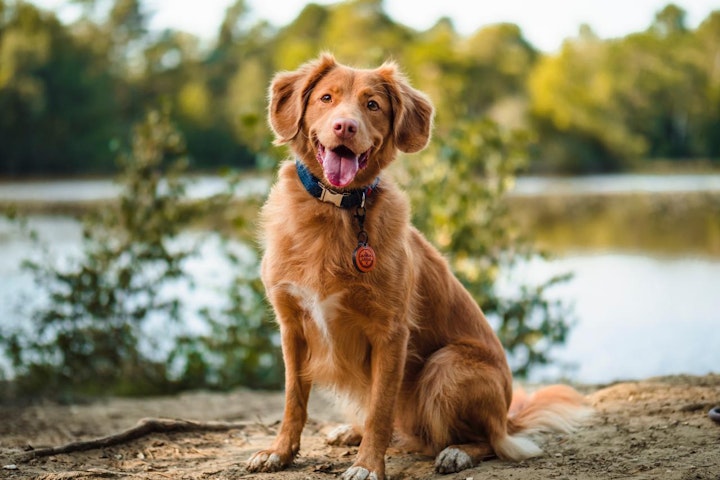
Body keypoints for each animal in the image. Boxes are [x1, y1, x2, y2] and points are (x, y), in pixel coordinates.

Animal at [248, 54, 592, 478]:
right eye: (326, 98)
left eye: (372, 105)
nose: (345, 126)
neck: (336, 212)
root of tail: (508, 416)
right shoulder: (292, 326)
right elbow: (293, 399)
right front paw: (280, 452)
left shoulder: (390, 333)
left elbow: (380, 409)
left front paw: (368, 466)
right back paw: (350, 431)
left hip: (446, 367)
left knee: (489, 441)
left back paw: (457, 452)